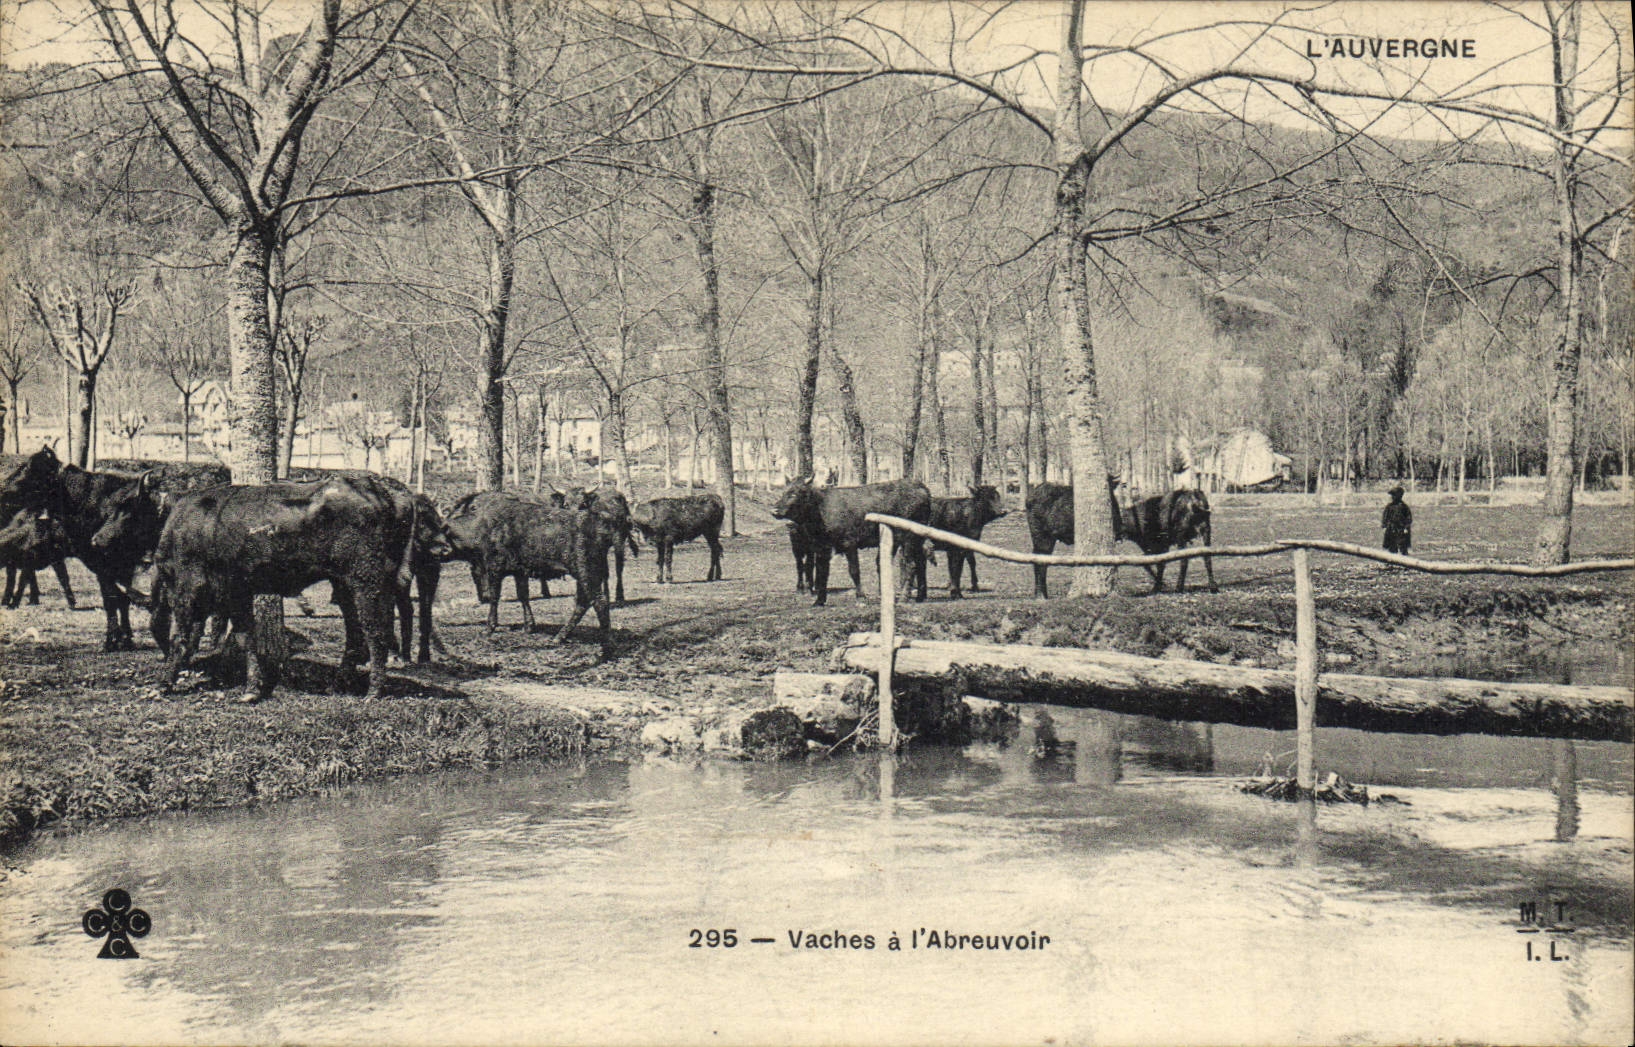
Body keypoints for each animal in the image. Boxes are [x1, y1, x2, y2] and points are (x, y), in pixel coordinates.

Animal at [148, 473, 420, 700]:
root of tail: (386, 489)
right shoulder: (235, 592)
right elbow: (246, 637)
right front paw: (252, 689)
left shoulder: (186, 588)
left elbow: (180, 637)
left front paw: (162, 684)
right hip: (345, 584)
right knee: (355, 633)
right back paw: (340, 683)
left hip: (365, 580)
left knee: (375, 631)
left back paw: (373, 692)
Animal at [442, 491, 614, 657]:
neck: (481, 526)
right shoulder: (520, 572)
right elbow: (523, 595)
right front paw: (529, 626)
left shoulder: (495, 569)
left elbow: (495, 598)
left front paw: (489, 628)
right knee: (583, 603)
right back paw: (559, 637)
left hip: (586, 572)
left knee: (599, 602)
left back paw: (606, 648)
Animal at [771, 478, 930, 606]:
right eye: (783, 492)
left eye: (794, 493)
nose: (774, 510)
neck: (821, 510)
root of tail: (921, 486)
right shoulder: (823, 548)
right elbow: (822, 572)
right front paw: (819, 601)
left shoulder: (849, 543)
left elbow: (854, 570)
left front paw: (861, 598)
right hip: (910, 539)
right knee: (915, 563)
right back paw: (915, 596)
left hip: (909, 537)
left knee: (910, 565)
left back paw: (904, 598)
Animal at [1026, 478, 1216, 597]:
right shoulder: (1155, 544)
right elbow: (1153, 563)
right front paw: (1159, 585)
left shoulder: (1157, 544)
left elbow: (1155, 563)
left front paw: (1159, 585)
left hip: (1193, 532)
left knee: (1198, 557)